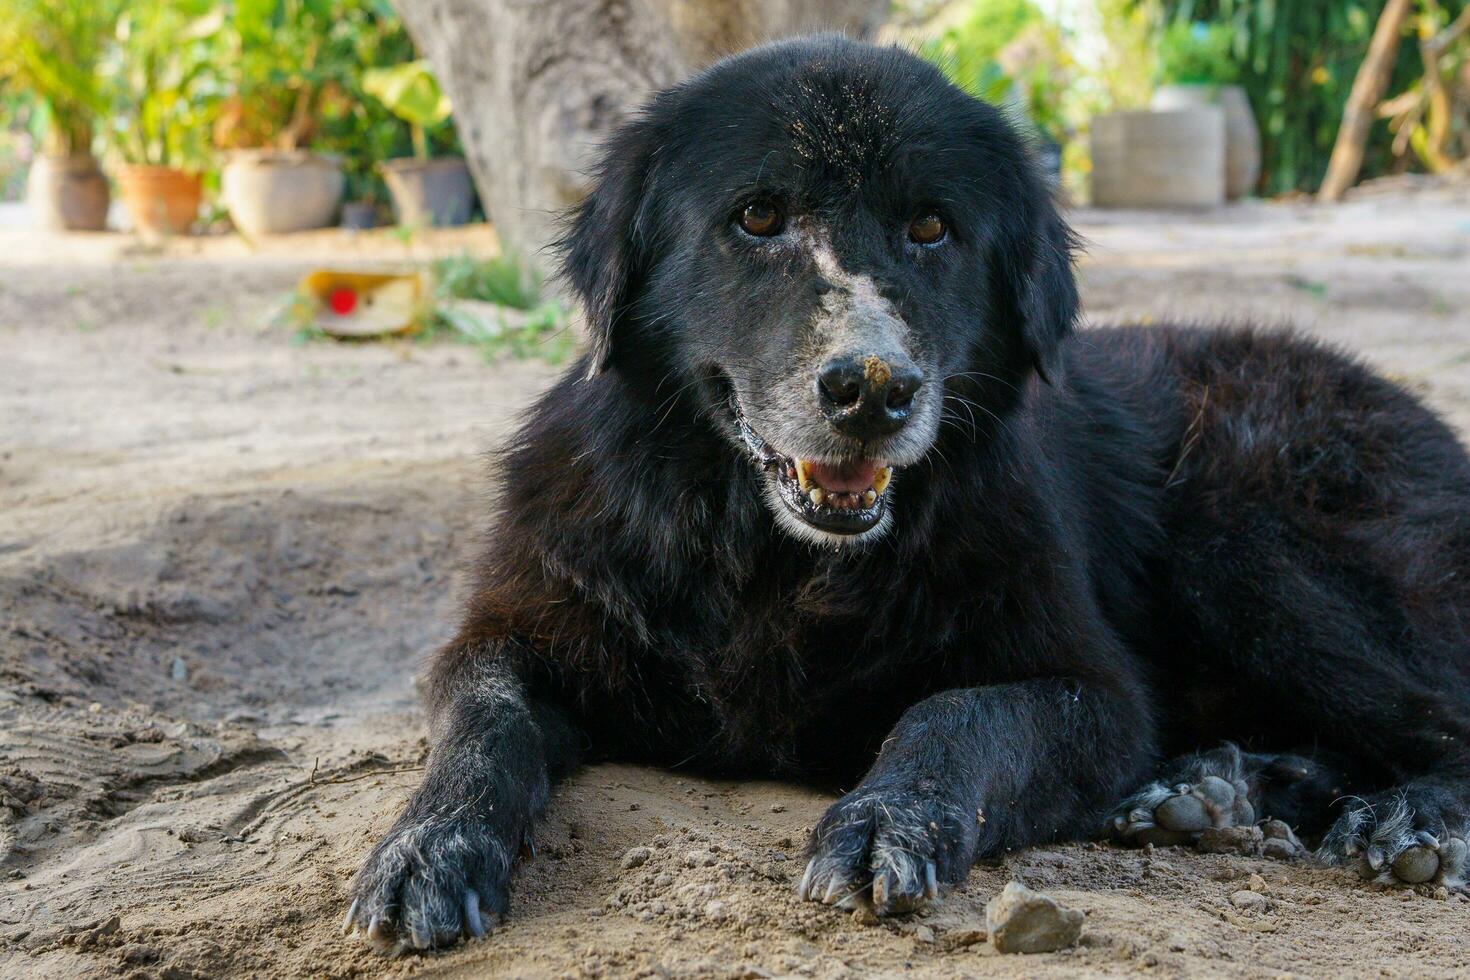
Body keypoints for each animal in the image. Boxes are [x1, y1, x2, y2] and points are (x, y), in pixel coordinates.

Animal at [346, 36, 1470, 952]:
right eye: (758, 216)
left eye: (932, 228)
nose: (873, 389)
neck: (773, 563)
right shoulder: (518, 626)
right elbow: (484, 719)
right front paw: (428, 847)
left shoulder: (1093, 691)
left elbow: (956, 711)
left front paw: (886, 817)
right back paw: (1213, 788)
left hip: (1249, 548)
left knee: (1444, 716)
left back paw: (1401, 816)